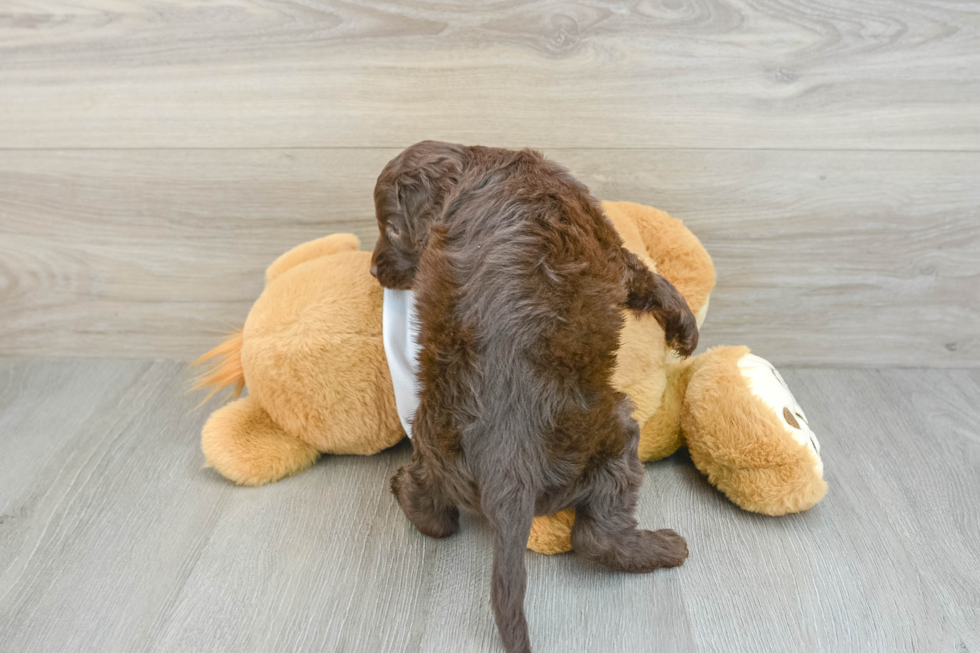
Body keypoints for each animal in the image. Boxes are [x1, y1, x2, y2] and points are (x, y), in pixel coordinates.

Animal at [370, 140, 696, 648]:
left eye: (393, 228)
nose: (372, 269)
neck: (476, 165)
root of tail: (508, 470)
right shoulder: (610, 246)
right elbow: (647, 278)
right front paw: (686, 328)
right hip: (615, 435)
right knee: (598, 535)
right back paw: (664, 548)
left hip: (433, 443)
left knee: (435, 517)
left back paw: (403, 486)